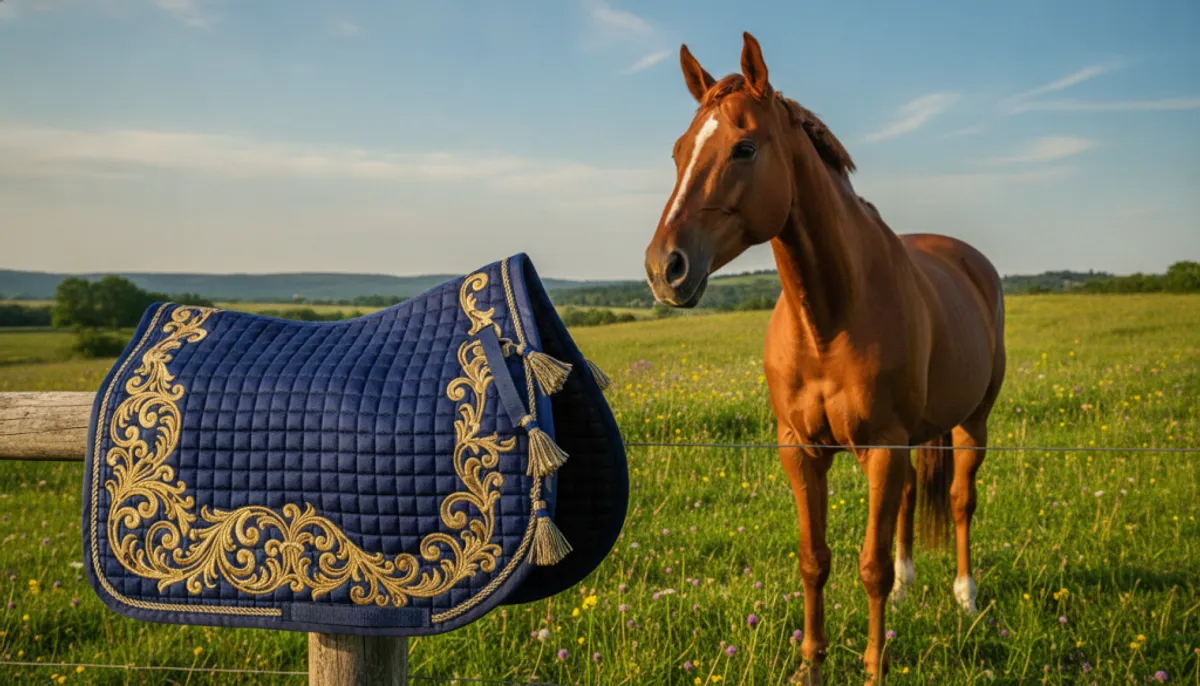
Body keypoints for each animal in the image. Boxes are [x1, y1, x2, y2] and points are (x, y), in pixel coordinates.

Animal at [642, 32, 1007, 684]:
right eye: (679, 151)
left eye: (744, 147)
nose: (665, 269)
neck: (829, 321)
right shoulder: (801, 450)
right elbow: (815, 560)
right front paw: (810, 664)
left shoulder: (882, 448)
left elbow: (870, 567)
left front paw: (874, 668)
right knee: (912, 500)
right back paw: (913, 587)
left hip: (973, 423)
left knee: (962, 500)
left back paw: (965, 596)